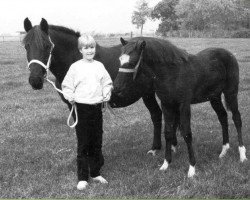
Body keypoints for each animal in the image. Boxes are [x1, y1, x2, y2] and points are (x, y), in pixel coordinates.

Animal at [22, 18, 166, 154]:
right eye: (26, 46)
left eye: (47, 46)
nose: (35, 80)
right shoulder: (72, 106)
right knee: (156, 114)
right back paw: (156, 147)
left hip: (149, 93)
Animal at [114, 36, 247, 177]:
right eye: (120, 59)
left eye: (133, 62)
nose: (116, 87)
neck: (171, 74)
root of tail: (229, 54)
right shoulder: (166, 105)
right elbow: (168, 132)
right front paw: (165, 164)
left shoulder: (184, 105)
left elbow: (187, 133)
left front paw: (192, 169)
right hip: (214, 97)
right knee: (223, 117)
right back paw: (224, 150)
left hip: (231, 93)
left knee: (236, 118)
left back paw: (242, 155)